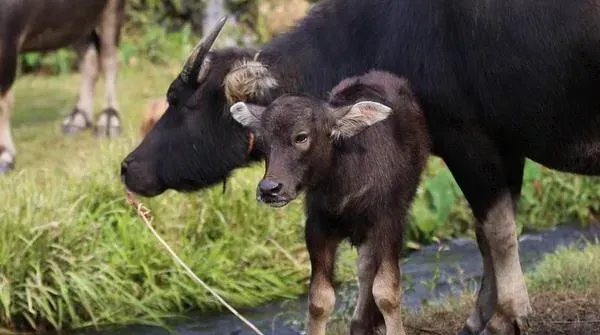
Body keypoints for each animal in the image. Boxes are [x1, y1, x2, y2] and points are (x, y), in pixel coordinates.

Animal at [0, 0, 125, 173]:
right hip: (78, 19)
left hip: (112, 7)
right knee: (90, 56)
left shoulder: (7, 38)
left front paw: (4, 156)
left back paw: (108, 121)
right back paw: (77, 120)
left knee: (109, 57)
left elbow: (2, 104)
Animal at [227, 69, 428, 334]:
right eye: (263, 141)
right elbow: (319, 300)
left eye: (301, 136)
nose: (270, 189)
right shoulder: (318, 228)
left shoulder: (387, 223)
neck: (345, 185)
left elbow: (386, 292)